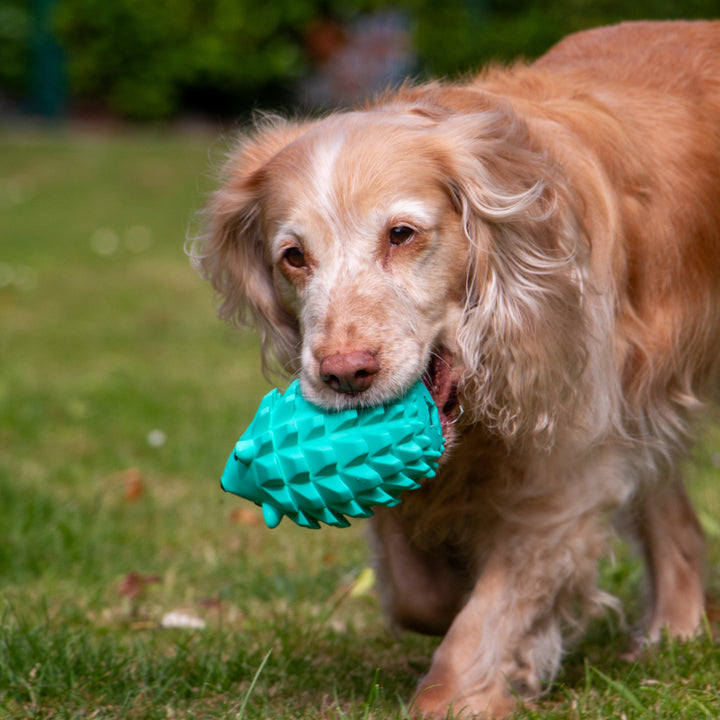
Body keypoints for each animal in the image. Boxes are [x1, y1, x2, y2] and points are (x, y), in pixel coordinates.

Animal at [191, 19, 720, 716]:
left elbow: (484, 620)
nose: (345, 374)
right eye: (294, 256)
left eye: (402, 234)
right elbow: (417, 590)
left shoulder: (571, 473)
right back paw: (672, 633)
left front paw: (468, 686)